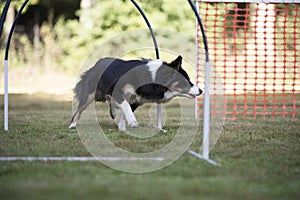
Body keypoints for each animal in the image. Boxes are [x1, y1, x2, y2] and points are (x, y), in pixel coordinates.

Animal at [69, 55, 203, 130]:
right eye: (186, 80)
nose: (201, 90)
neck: (153, 77)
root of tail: (96, 64)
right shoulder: (117, 90)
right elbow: (125, 106)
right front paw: (132, 121)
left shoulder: (137, 100)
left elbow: (125, 111)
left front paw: (122, 127)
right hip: (90, 93)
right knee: (79, 109)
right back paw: (72, 125)